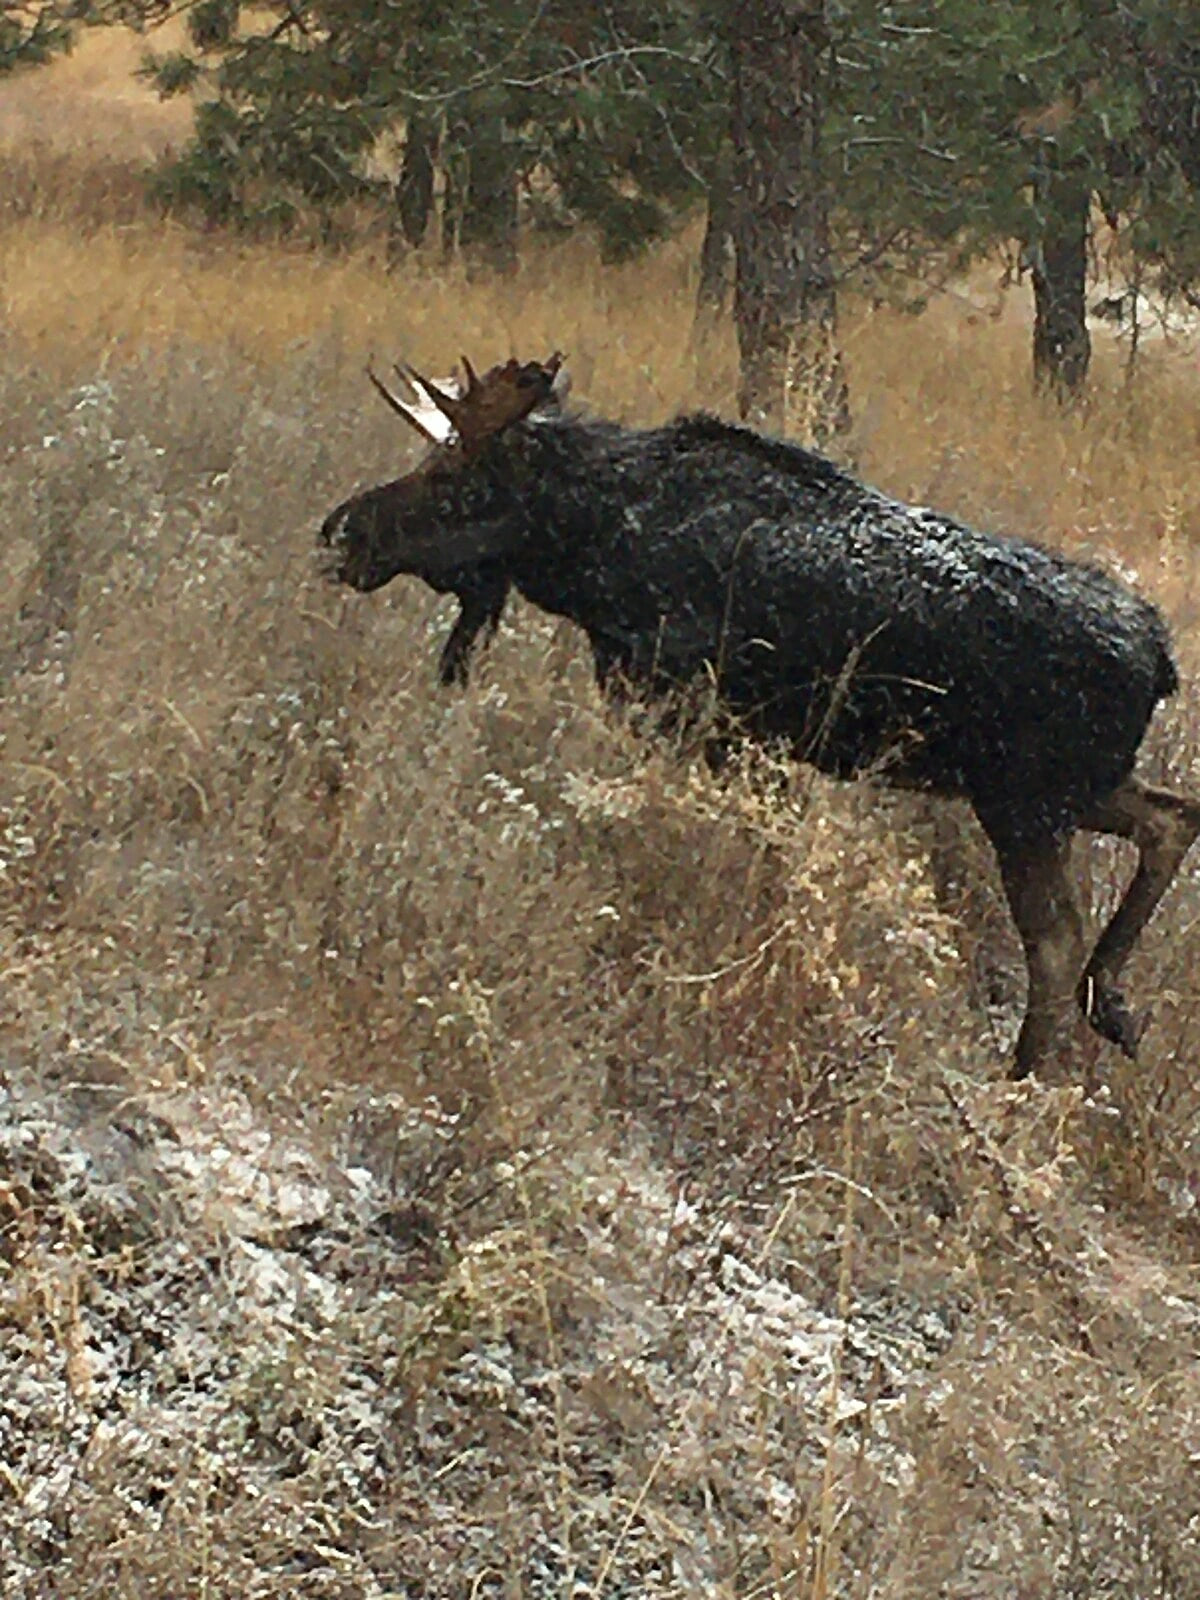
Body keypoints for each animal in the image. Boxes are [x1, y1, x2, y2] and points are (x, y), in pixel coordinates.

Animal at [319, 352, 1200, 1080]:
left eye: (454, 478)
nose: (339, 532)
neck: (595, 548)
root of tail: (1160, 661)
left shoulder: (696, 712)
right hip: (1072, 789)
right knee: (1170, 819)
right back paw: (1111, 1007)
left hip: (1025, 802)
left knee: (1055, 941)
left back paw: (1025, 1077)